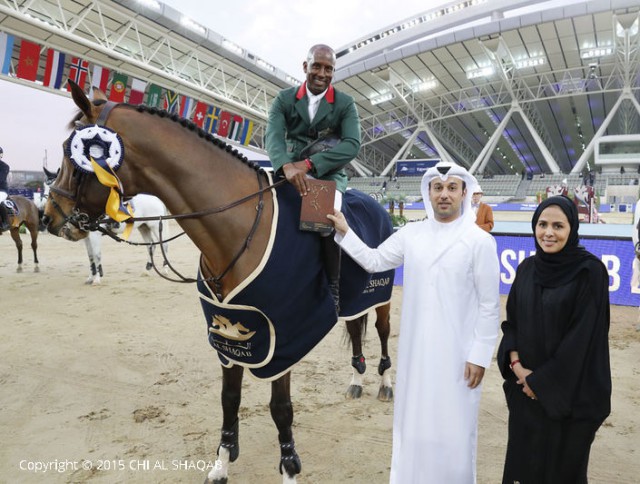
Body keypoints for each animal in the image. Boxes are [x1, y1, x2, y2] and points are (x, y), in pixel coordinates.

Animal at [43, 81, 396, 482]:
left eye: (71, 154)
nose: (49, 216)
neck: (238, 226)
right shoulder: (228, 334)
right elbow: (229, 399)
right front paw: (222, 462)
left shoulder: (283, 338)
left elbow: (281, 408)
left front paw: (289, 468)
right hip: (354, 300)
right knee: (355, 329)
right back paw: (355, 380)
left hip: (381, 296)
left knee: (382, 333)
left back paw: (384, 384)